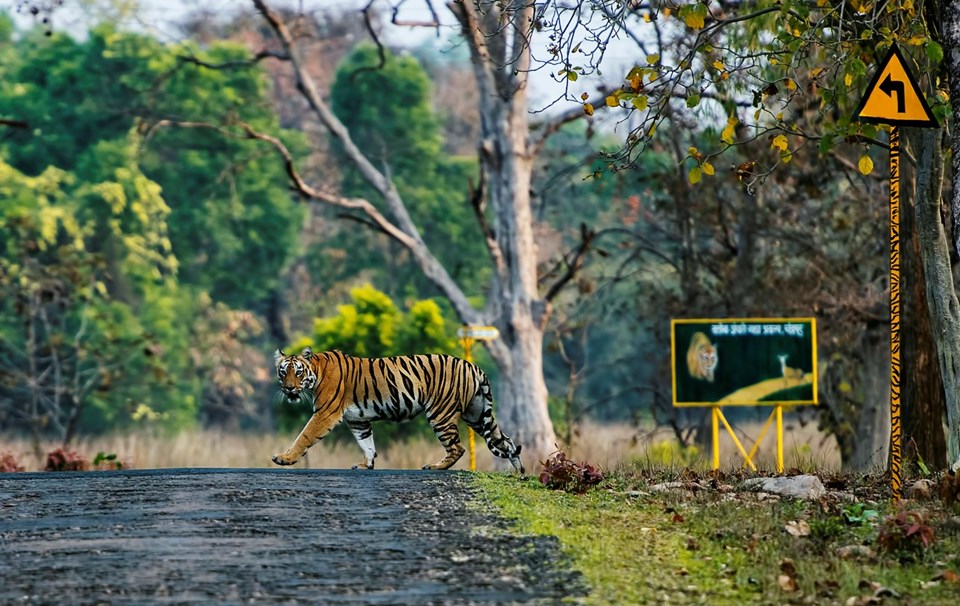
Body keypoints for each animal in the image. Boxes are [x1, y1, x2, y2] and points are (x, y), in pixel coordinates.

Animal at [270, 352, 524, 476]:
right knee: (506, 441)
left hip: (440, 414)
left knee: (457, 447)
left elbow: (304, 436)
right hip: (477, 414)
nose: (289, 389)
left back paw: (434, 467)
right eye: (283, 372)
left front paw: (284, 458)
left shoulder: (325, 413)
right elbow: (367, 443)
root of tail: (473, 366)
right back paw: (520, 471)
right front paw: (366, 465)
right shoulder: (358, 420)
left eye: (298, 372)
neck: (317, 372)